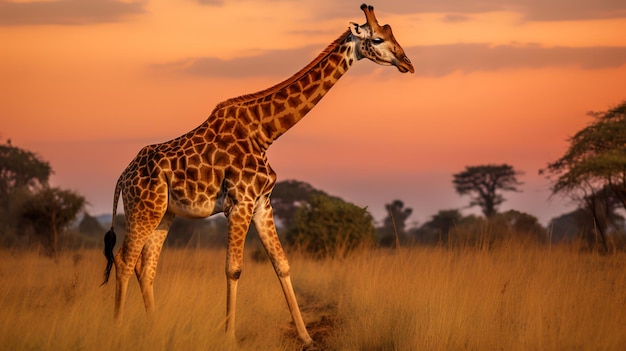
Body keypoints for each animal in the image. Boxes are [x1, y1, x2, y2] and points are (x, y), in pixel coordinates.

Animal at [101, 3, 414, 346]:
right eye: (378, 38)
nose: (407, 63)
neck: (265, 132)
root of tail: (121, 178)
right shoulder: (240, 202)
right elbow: (234, 268)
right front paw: (229, 337)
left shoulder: (263, 202)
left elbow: (282, 264)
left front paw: (306, 337)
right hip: (143, 209)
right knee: (124, 260)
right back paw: (117, 329)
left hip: (164, 213)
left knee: (146, 267)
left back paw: (155, 330)